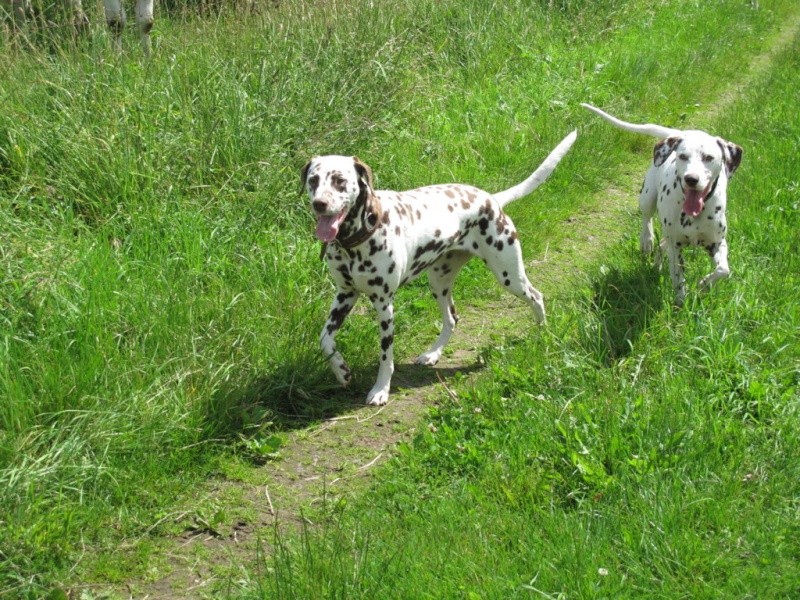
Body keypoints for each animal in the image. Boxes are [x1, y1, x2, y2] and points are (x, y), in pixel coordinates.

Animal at [304, 129, 576, 406]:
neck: (357, 238)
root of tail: (491, 199)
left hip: (509, 275)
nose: (319, 203)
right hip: (439, 282)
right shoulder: (345, 295)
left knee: (536, 296)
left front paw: (381, 389)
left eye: (339, 180)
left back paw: (542, 333)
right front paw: (341, 371)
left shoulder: (384, 305)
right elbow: (325, 340)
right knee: (452, 318)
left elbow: (386, 356)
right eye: (313, 180)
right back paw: (433, 354)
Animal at [580, 102, 744, 304]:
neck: (694, 214)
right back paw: (647, 239)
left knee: (662, 245)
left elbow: (723, 270)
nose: (691, 179)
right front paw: (680, 303)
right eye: (683, 156)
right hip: (647, 198)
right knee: (647, 219)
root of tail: (678, 133)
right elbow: (678, 280)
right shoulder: (676, 247)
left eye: (708, 157)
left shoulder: (716, 243)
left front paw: (704, 284)